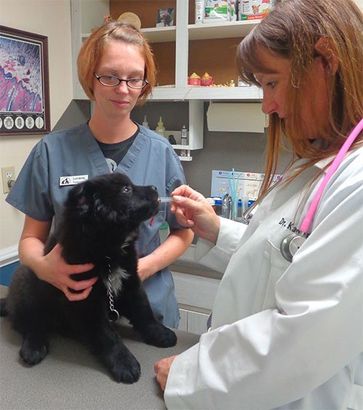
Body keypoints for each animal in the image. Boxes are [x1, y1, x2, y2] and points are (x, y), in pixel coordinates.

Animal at [0, 173, 177, 384]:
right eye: (126, 189)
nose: (155, 188)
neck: (108, 251)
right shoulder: (86, 300)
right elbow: (108, 335)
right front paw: (125, 364)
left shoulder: (130, 283)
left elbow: (144, 312)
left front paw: (160, 333)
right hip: (27, 287)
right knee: (30, 324)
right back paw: (33, 348)